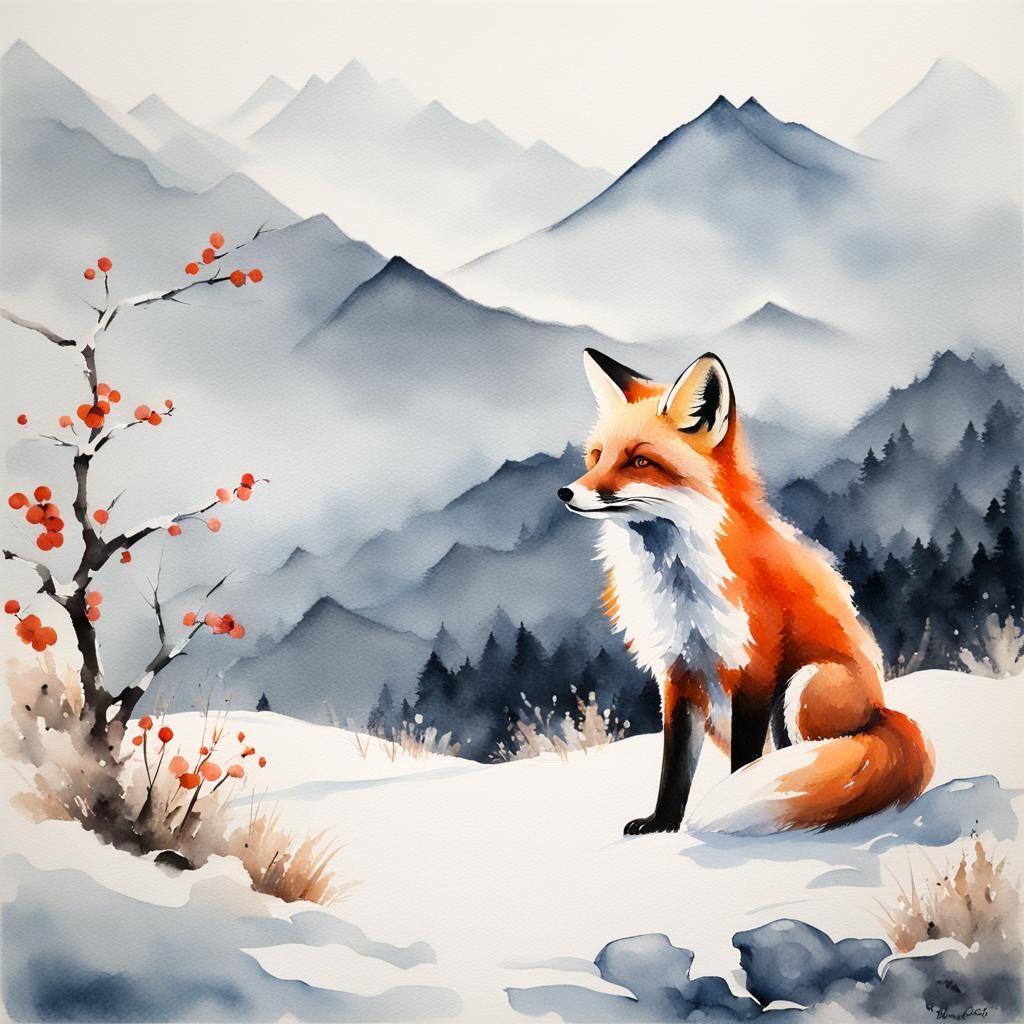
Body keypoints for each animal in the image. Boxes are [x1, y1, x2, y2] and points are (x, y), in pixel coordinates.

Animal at [558, 348, 934, 836]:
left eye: (639, 462)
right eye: (597, 456)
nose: (566, 492)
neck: (682, 588)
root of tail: (884, 711)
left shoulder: (753, 666)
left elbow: (746, 763)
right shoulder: (679, 673)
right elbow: (675, 766)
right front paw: (663, 824)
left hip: (805, 687)